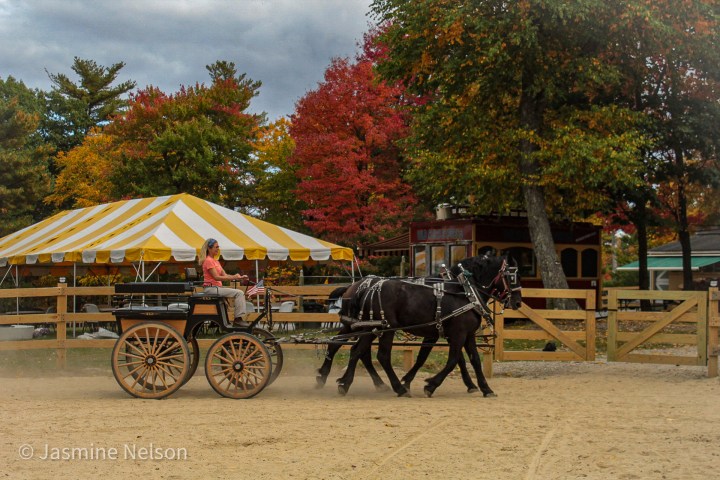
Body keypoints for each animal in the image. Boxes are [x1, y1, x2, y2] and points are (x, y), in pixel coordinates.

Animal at [330, 255, 520, 398]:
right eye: (512, 276)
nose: (517, 302)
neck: (466, 292)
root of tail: (366, 288)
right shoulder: (457, 333)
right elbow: (453, 360)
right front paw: (430, 385)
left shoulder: (466, 334)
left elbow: (474, 361)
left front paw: (485, 388)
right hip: (384, 328)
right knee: (380, 355)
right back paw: (397, 388)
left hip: (371, 328)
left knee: (356, 351)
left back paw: (345, 383)